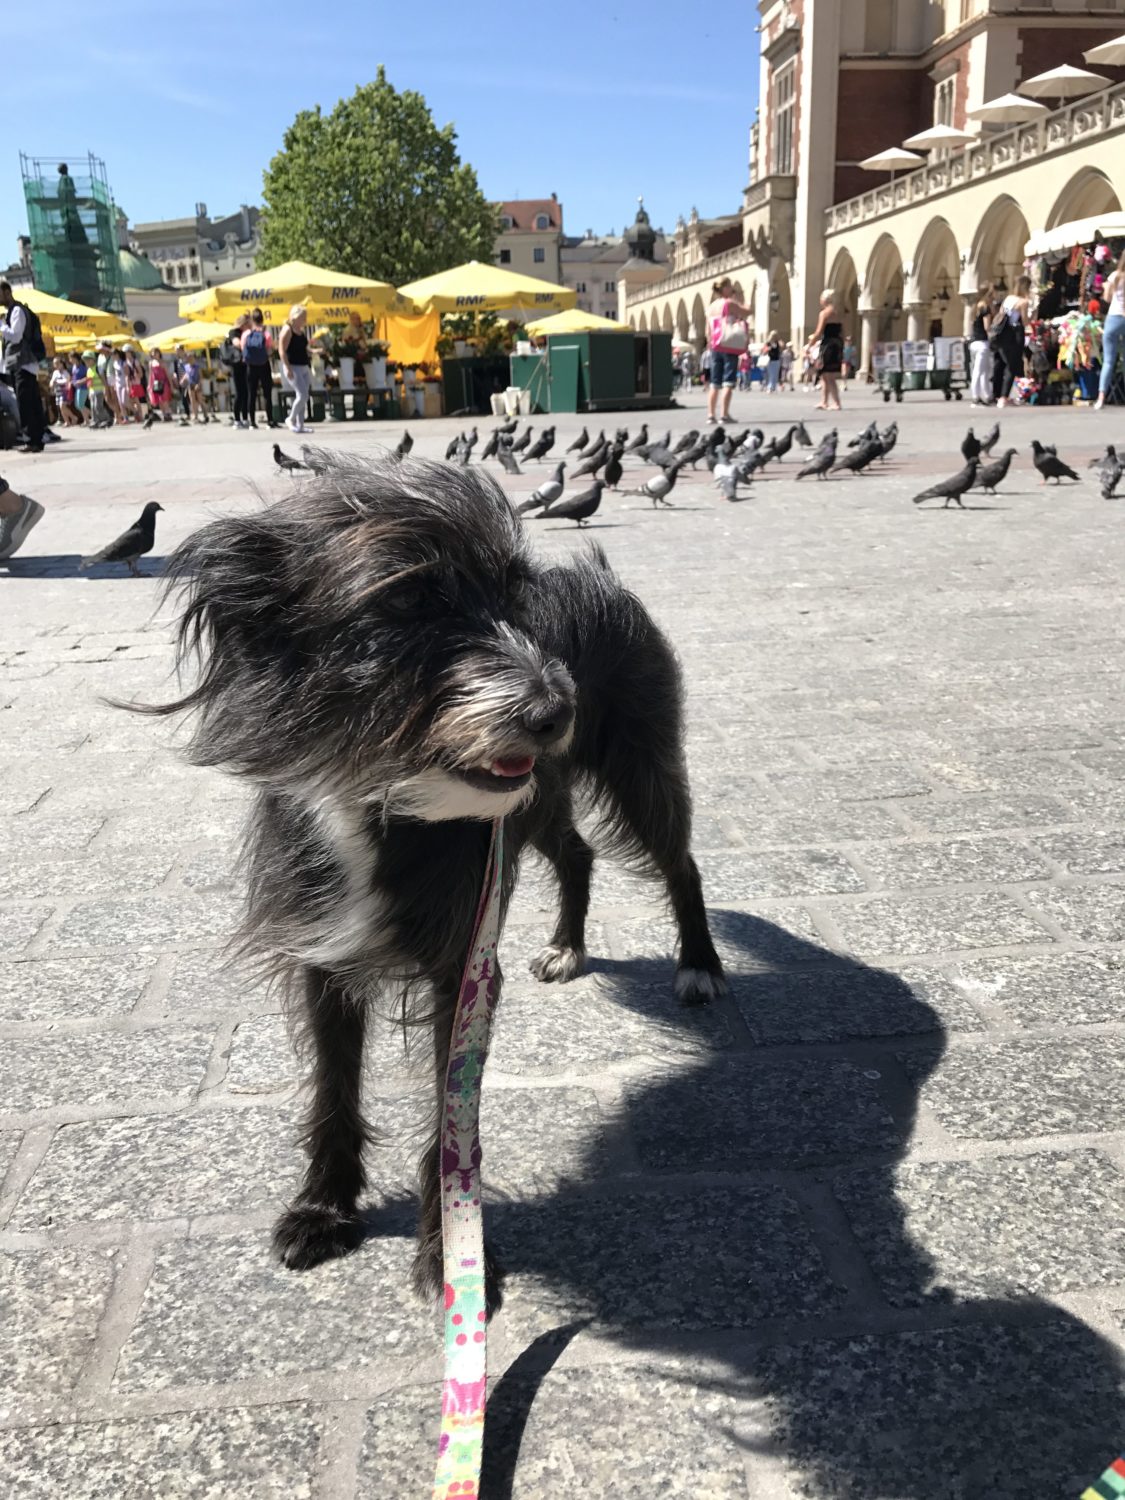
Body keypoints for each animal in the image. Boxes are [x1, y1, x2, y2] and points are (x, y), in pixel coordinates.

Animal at [143, 451, 725, 1305]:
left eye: (515, 599)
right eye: (410, 600)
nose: (557, 709)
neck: (376, 793)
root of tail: (600, 574)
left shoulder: (463, 972)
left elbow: (451, 1127)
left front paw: (450, 1253)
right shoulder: (323, 958)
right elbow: (332, 1091)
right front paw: (323, 1208)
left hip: (640, 763)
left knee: (680, 863)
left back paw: (699, 965)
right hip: (538, 799)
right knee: (577, 854)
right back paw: (566, 945)